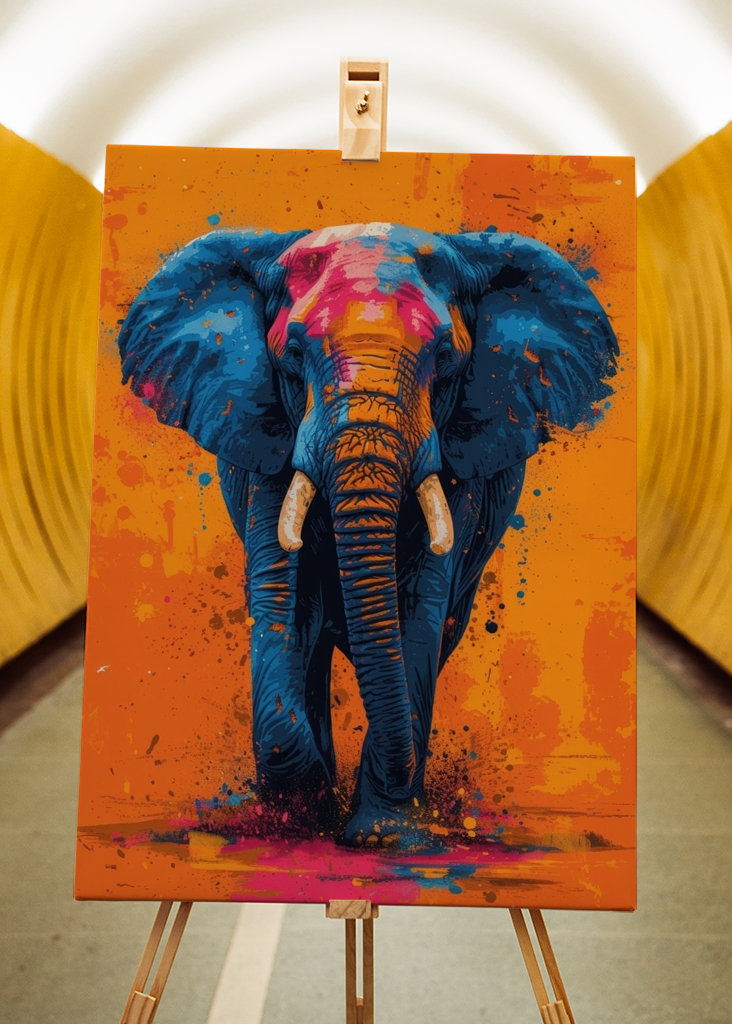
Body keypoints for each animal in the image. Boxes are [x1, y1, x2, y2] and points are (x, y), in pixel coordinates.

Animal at [117, 222, 618, 848]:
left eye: (446, 359)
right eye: (293, 355)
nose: (326, 817)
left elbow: (418, 613)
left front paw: (382, 836)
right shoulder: (266, 436)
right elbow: (286, 600)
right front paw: (304, 815)